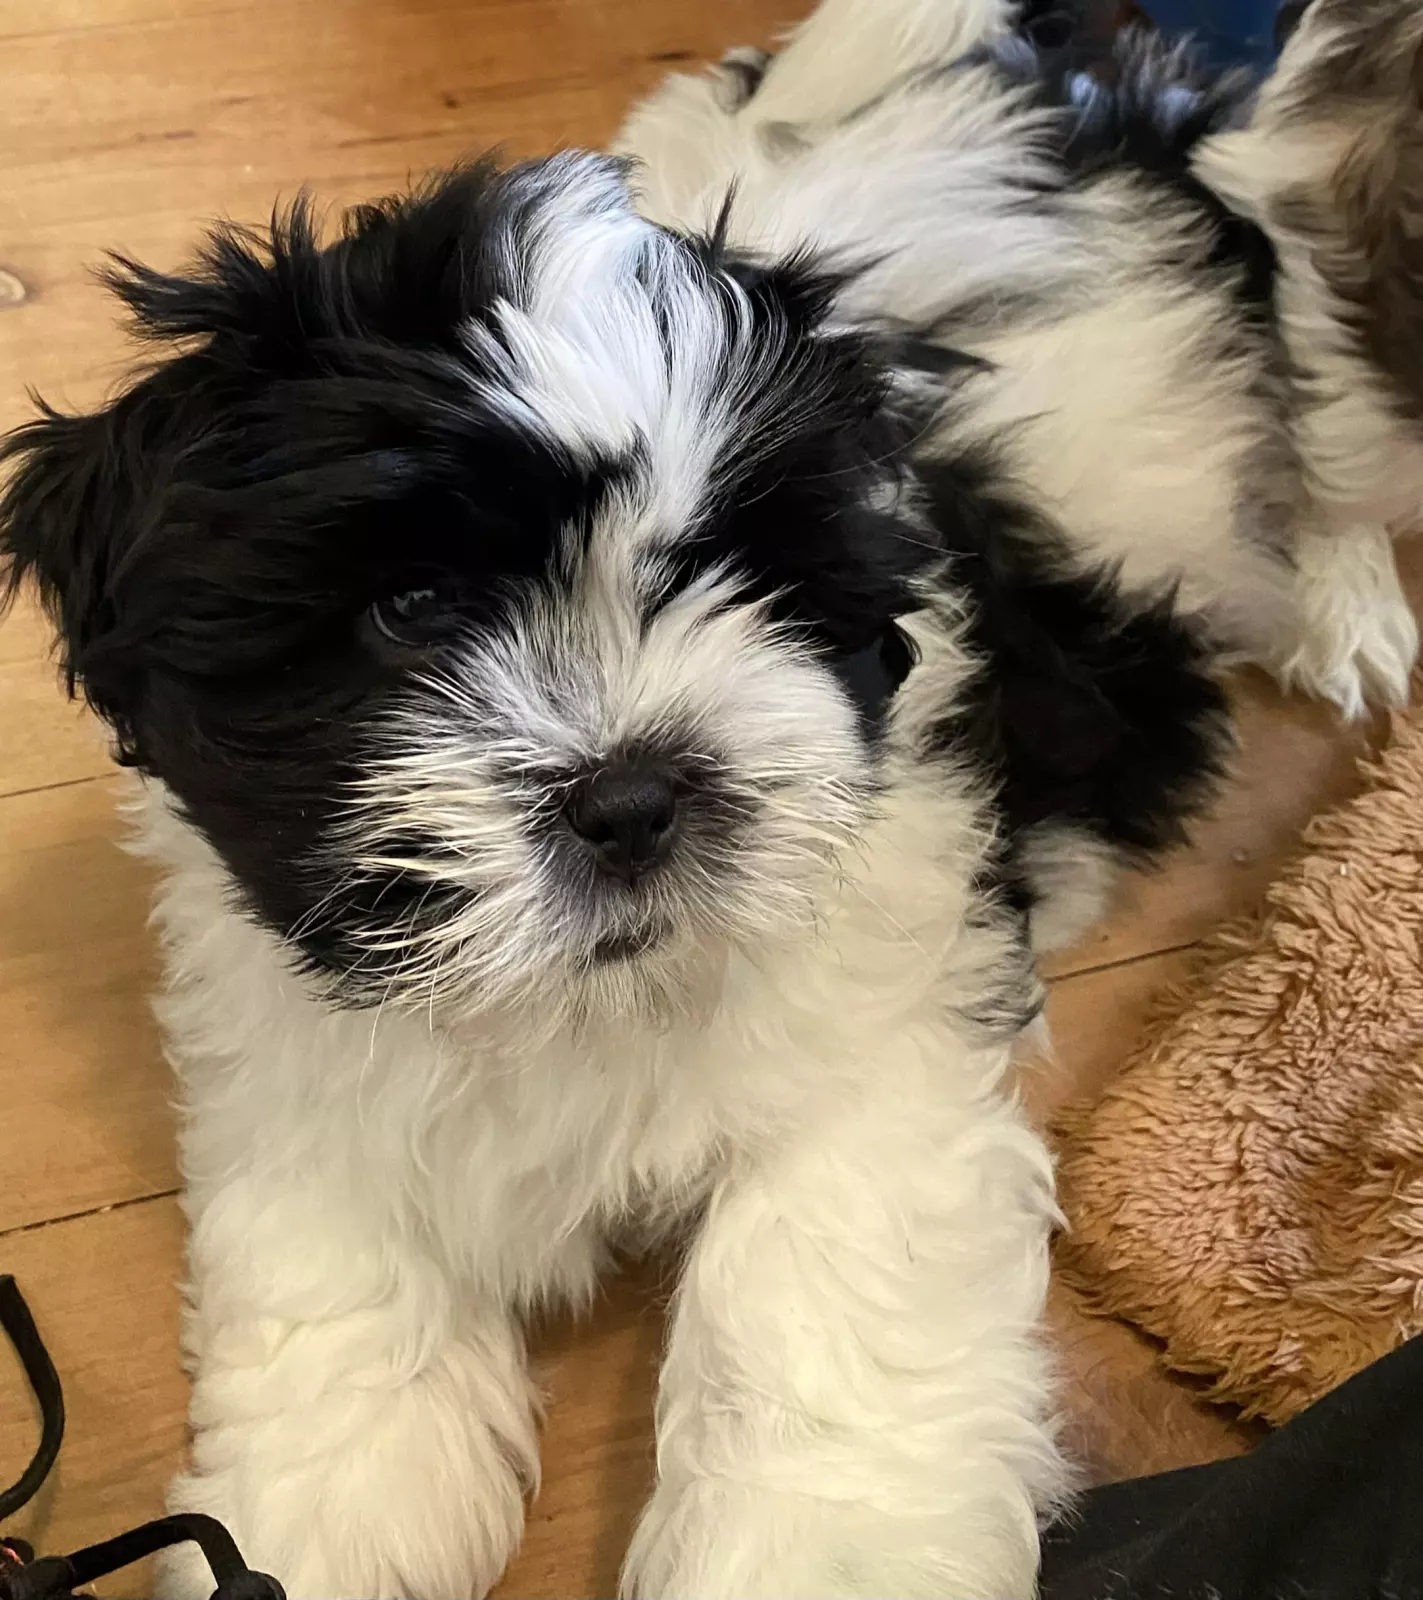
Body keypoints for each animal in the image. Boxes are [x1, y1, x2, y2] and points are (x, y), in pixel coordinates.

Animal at [2, 1, 1420, 1595]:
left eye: (748, 579)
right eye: (414, 607)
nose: (631, 795)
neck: (588, 997)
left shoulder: (881, 1042)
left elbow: (809, 1302)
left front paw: (804, 1549)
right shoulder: (299, 1025)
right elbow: (333, 1270)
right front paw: (331, 1514)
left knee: (1339, 454)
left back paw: (1340, 597)